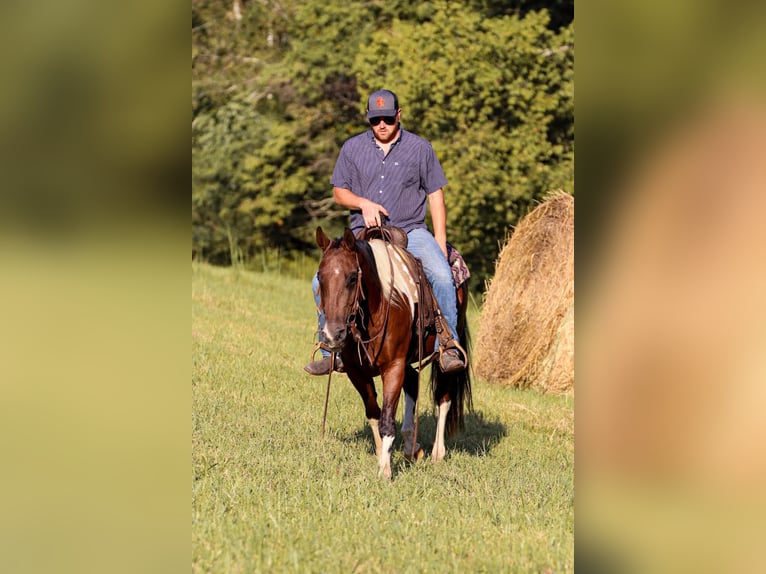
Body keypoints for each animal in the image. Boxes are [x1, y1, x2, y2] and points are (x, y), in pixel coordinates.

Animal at [314, 227, 472, 480]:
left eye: (352, 277)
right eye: (320, 276)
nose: (332, 334)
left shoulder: (394, 366)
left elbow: (387, 419)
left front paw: (385, 470)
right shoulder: (356, 372)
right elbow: (373, 412)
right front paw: (382, 455)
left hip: (444, 357)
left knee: (443, 398)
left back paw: (437, 452)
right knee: (413, 384)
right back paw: (411, 446)